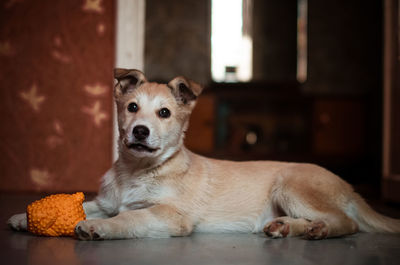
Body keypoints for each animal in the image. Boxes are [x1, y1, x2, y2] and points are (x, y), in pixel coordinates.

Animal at [7, 68, 400, 239]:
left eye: (165, 113)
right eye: (132, 108)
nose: (140, 131)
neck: (139, 171)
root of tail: (349, 188)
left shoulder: (171, 215)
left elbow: (130, 217)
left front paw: (99, 228)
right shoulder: (107, 201)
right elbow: (90, 205)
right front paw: (24, 217)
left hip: (291, 185)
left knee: (348, 223)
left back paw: (317, 230)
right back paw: (289, 227)